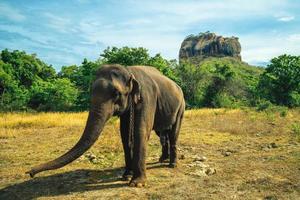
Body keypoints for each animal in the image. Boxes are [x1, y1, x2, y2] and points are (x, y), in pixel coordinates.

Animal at [25, 64, 185, 188]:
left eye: (116, 94)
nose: (30, 173)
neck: (129, 71)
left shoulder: (147, 98)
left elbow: (140, 132)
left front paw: (137, 184)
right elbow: (125, 134)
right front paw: (126, 176)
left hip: (181, 108)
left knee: (173, 133)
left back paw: (172, 164)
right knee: (162, 133)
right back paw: (163, 159)